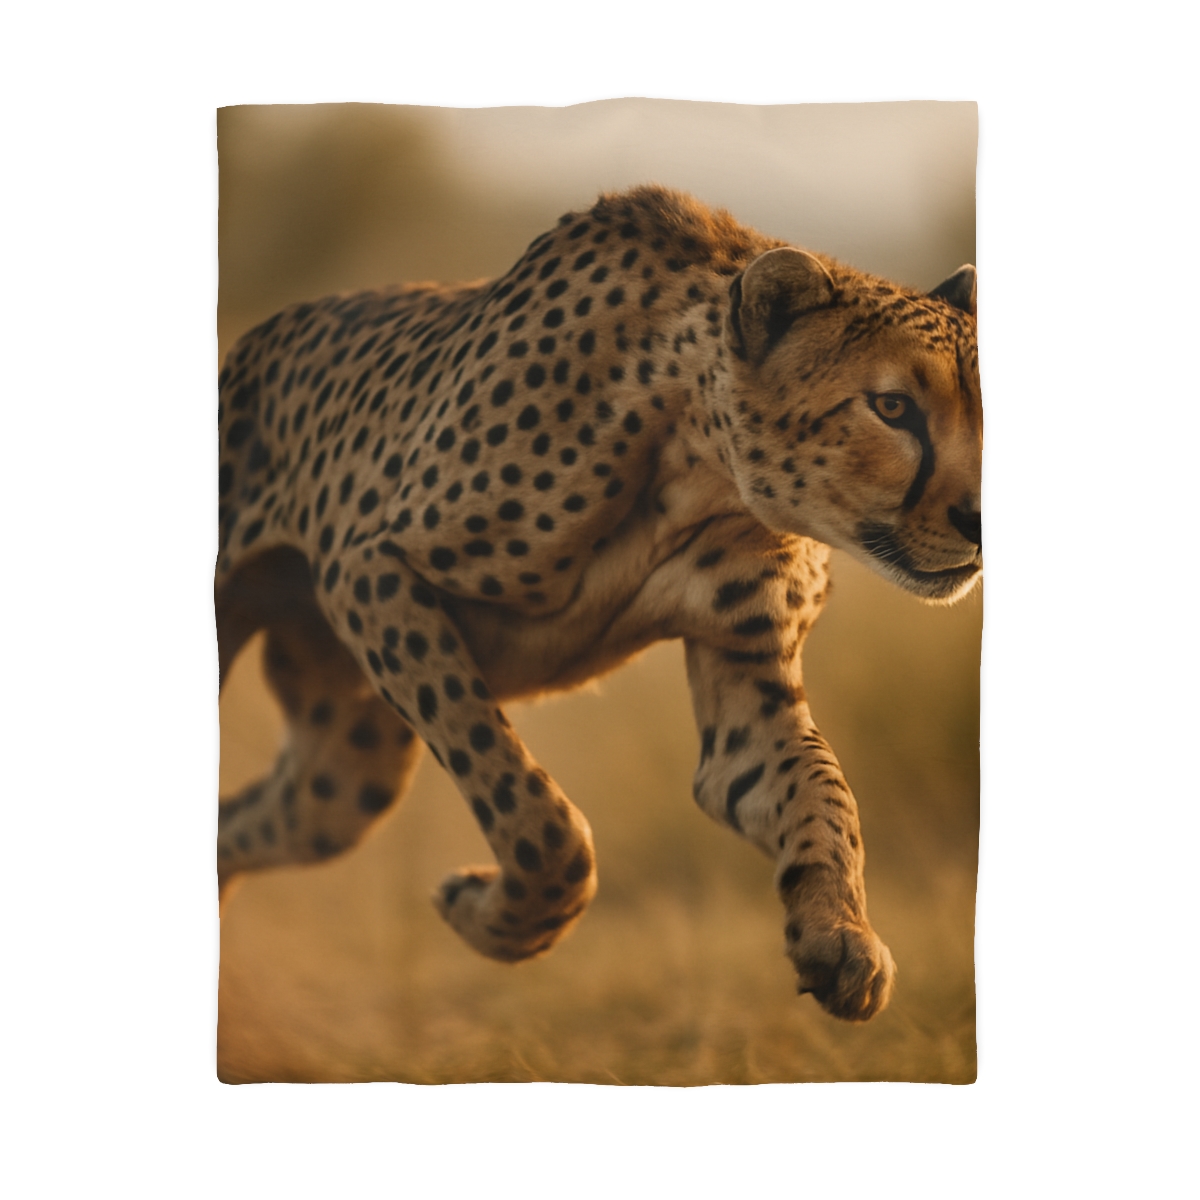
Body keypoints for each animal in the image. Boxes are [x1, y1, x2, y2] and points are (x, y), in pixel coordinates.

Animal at [215, 185, 981, 1023]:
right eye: (893, 408)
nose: (982, 518)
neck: (699, 458)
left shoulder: (745, 670)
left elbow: (820, 793)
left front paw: (839, 936)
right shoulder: (370, 570)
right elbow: (535, 812)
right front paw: (494, 919)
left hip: (350, 770)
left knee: (245, 822)